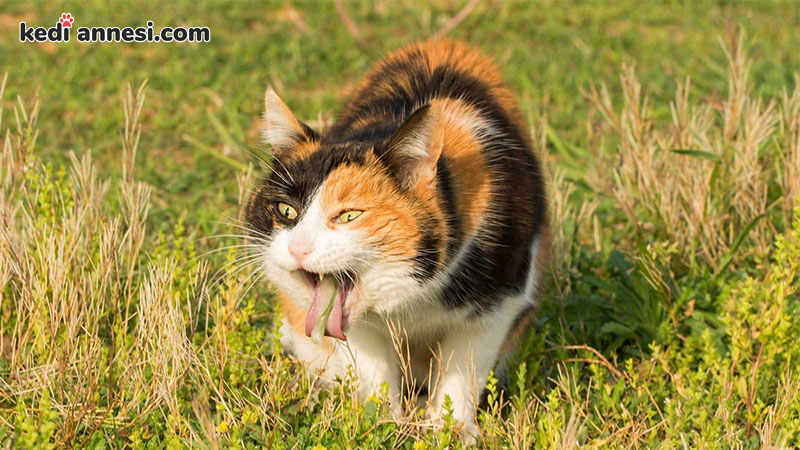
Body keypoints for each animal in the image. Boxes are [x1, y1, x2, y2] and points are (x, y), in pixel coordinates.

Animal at [245, 39, 552, 440]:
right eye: (285, 211)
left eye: (349, 215)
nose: (299, 248)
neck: (413, 299)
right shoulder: (357, 329)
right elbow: (374, 373)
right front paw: (379, 424)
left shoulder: (498, 304)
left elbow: (463, 371)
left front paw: (450, 431)